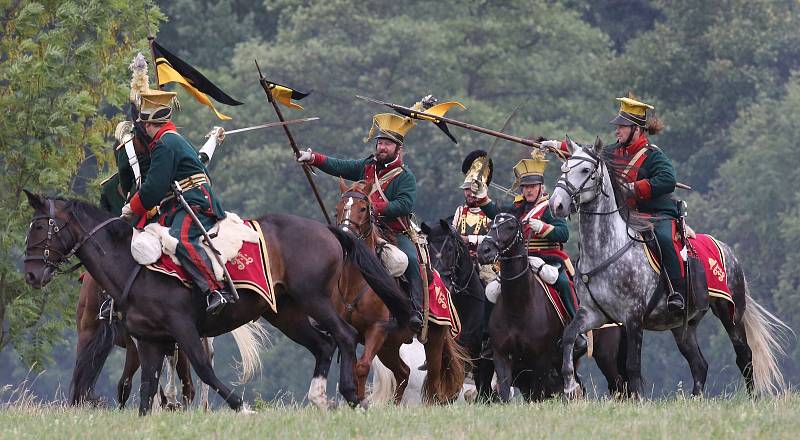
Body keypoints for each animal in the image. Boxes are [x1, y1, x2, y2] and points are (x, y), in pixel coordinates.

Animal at [21, 192, 410, 412]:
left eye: (40, 226)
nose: (31, 274)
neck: (133, 265)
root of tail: (327, 229)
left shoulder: (182, 329)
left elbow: (204, 370)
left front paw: (242, 406)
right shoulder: (149, 341)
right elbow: (146, 391)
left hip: (315, 300)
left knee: (344, 336)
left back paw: (352, 395)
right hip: (287, 314)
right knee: (324, 345)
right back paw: (319, 398)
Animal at [332, 178, 468, 402]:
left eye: (363, 208)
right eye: (338, 209)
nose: (345, 235)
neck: (358, 281)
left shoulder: (376, 329)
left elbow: (361, 367)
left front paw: (360, 402)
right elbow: (352, 369)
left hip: (433, 339)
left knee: (433, 382)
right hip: (390, 345)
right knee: (403, 372)